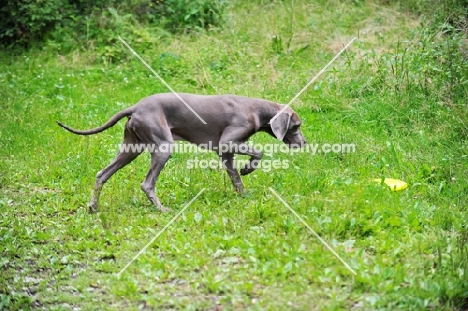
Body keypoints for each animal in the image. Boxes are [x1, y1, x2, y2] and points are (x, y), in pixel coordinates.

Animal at [57, 93, 308, 212]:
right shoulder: (227, 142)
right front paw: (248, 168)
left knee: (102, 174)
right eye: (296, 126)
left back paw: (93, 207)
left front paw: (244, 196)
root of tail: (136, 107)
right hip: (163, 147)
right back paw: (161, 209)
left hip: (131, 148)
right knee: (147, 183)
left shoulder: (225, 153)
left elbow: (236, 179)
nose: (305, 143)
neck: (255, 109)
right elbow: (259, 153)